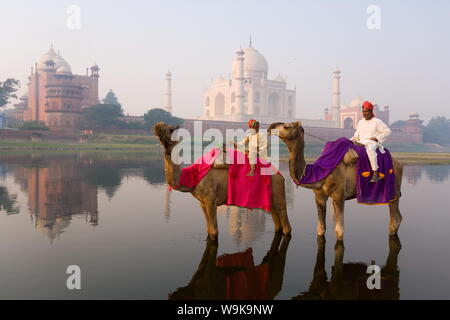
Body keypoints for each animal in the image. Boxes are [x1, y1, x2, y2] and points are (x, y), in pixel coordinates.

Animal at [151, 122, 292, 240]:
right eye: (162, 128)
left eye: (170, 130)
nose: (157, 127)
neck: (193, 175)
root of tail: (281, 176)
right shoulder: (202, 202)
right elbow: (208, 230)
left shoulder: (210, 200)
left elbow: (214, 232)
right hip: (270, 197)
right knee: (277, 221)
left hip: (278, 189)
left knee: (285, 222)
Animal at [268, 121, 404, 239]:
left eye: (287, 126)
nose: (270, 127)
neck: (318, 171)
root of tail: (400, 164)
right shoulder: (319, 196)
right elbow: (320, 229)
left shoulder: (339, 194)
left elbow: (339, 231)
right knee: (398, 218)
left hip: (393, 190)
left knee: (394, 220)